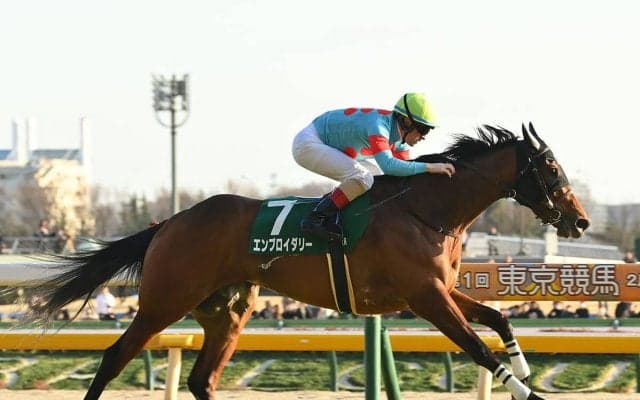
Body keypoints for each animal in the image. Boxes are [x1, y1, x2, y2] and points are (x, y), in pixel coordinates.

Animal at [25, 123, 590, 400]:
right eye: (552, 168)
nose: (580, 221)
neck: (425, 211)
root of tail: (168, 223)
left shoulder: (439, 291)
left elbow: (498, 318)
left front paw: (525, 368)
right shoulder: (425, 297)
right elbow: (477, 348)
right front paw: (525, 390)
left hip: (228, 311)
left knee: (202, 380)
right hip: (164, 301)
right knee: (115, 357)